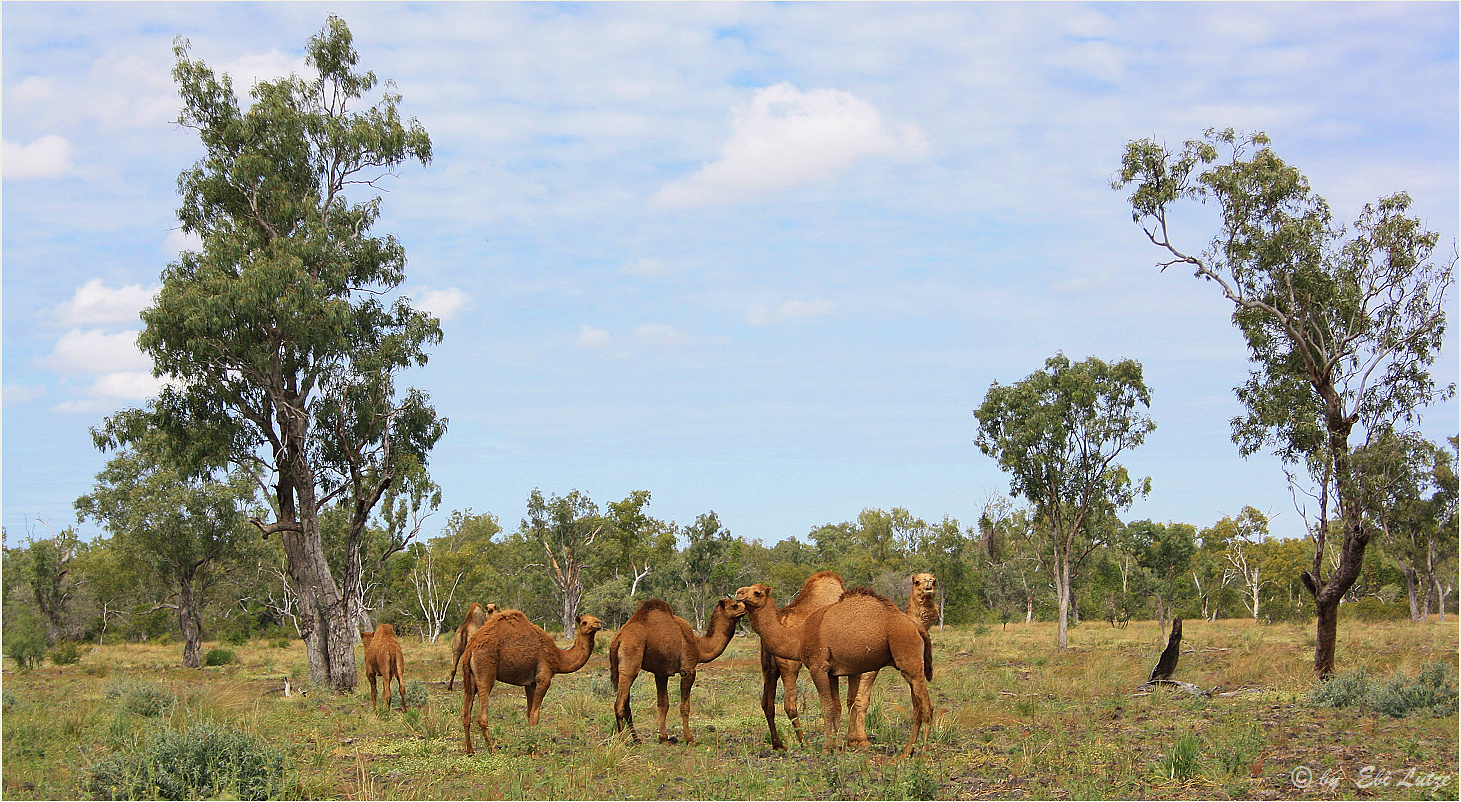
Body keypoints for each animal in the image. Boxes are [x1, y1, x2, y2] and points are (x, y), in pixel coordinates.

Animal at [458, 610, 601, 753]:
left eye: (596, 619)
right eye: (584, 622)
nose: (598, 624)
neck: (557, 657)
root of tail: (470, 648)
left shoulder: (530, 684)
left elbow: (528, 713)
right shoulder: (543, 679)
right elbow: (534, 715)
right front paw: (534, 750)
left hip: (470, 678)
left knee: (466, 714)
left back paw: (470, 751)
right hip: (485, 672)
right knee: (482, 716)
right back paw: (493, 750)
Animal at [607, 593, 748, 745]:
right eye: (734, 605)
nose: (746, 607)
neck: (699, 645)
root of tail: (618, 639)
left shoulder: (661, 673)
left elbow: (663, 704)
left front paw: (664, 738)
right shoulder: (688, 669)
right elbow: (685, 706)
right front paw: (689, 739)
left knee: (626, 704)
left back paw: (637, 739)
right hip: (631, 660)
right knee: (619, 704)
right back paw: (621, 740)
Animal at [736, 581, 929, 759]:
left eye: (757, 592)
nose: (738, 594)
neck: (798, 636)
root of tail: (918, 628)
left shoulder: (818, 666)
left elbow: (827, 707)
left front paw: (826, 748)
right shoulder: (832, 672)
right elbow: (836, 707)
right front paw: (839, 746)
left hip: (909, 659)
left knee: (926, 705)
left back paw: (923, 753)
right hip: (909, 668)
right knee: (917, 707)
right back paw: (908, 750)